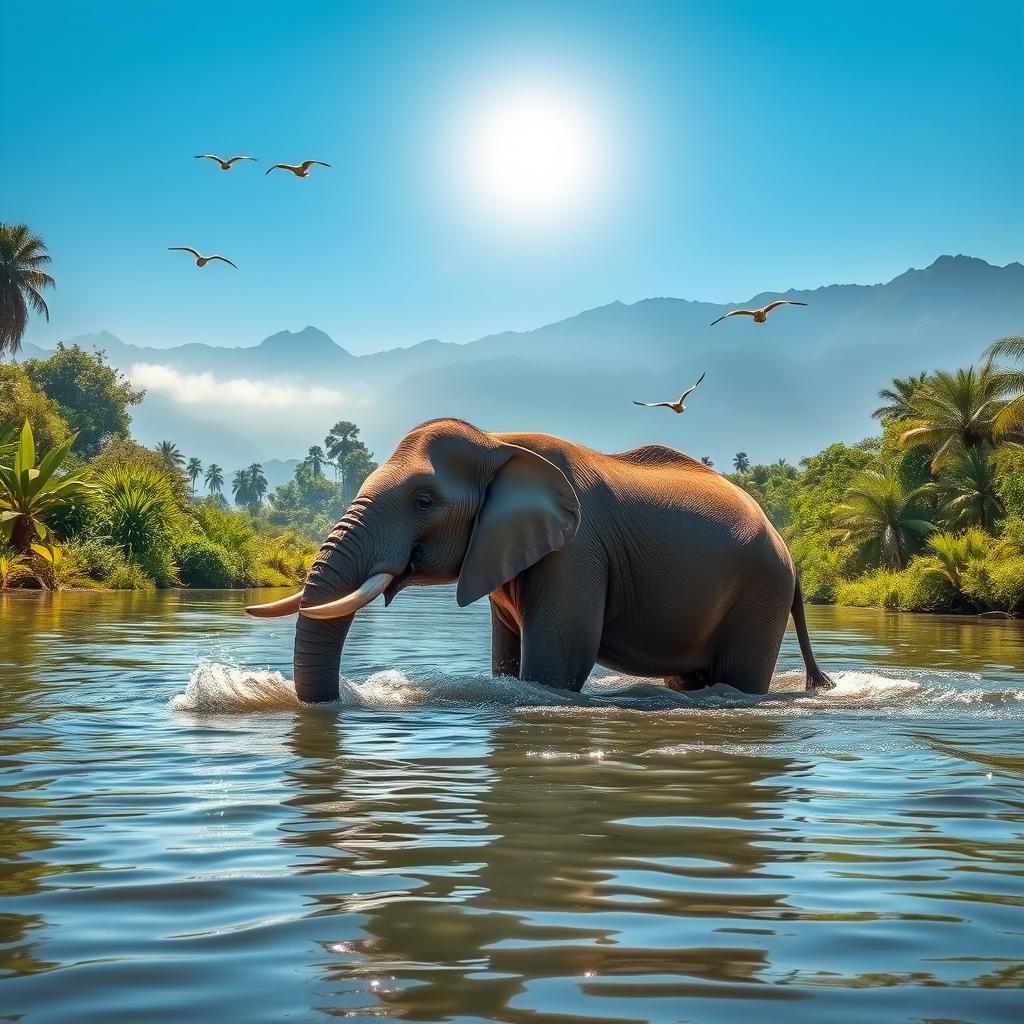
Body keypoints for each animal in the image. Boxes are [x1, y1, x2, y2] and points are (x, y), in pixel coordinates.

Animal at [247, 418, 834, 703]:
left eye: (424, 501)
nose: (335, 706)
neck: (496, 442)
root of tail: (788, 548)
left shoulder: (576, 552)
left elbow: (556, 668)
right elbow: (507, 664)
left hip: (760, 591)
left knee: (737, 677)